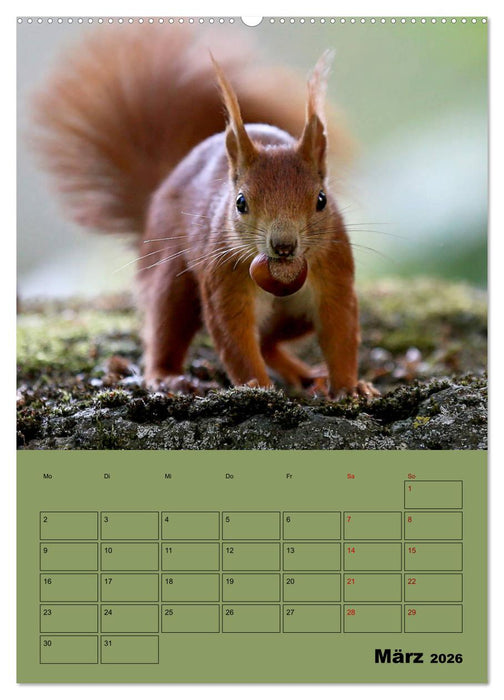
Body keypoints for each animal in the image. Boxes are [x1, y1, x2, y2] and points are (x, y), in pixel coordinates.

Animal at [32, 26, 378, 399]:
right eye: (240, 202)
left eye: (322, 200)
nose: (284, 246)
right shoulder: (223, 275)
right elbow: (233, 335)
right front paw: (257, 387)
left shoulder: (334, 272)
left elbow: (340, 329)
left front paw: (350, 387)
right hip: (173, 281)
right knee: (167, 328)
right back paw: (167, 377)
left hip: (292, 318)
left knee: (268, 342)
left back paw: (304, 375)